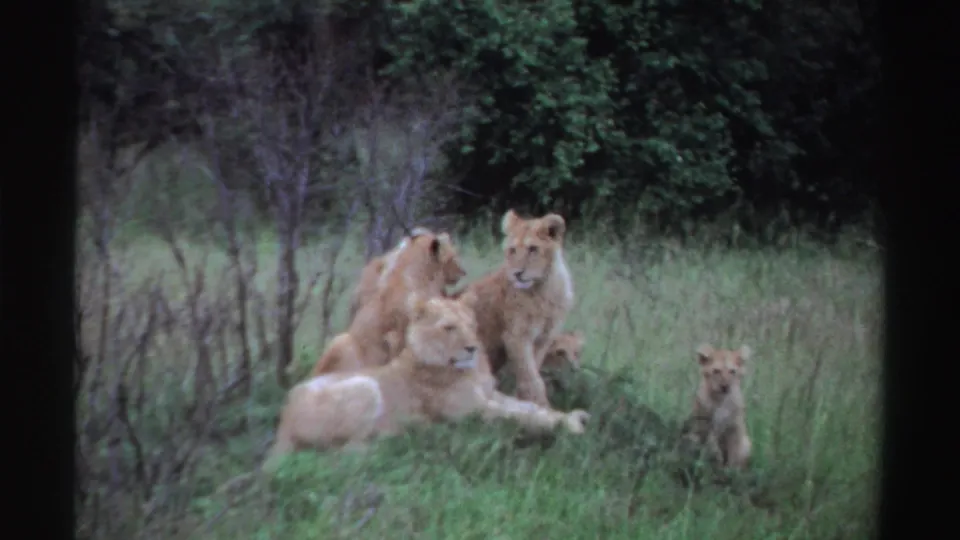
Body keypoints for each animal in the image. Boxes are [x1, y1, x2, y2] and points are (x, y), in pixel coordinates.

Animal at [264, 294, 591, 471]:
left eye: (471, 325)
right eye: (449, 328)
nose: (472, 348)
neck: (467, 370)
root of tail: (283, 422)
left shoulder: (492, 395)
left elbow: (529, 408)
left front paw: (571, 416)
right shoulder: (473, 411)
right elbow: (520, 416)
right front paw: (569, 426)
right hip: (365, 388)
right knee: (340, 453)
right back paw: (403, 438)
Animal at [449, 209, 574, 406]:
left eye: (533, 249)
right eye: (512, 250)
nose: (517, 273)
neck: (543, 289)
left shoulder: (544, 338)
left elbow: (533, 372)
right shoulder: (516, 337)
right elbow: (532, 378)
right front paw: (541, 406)